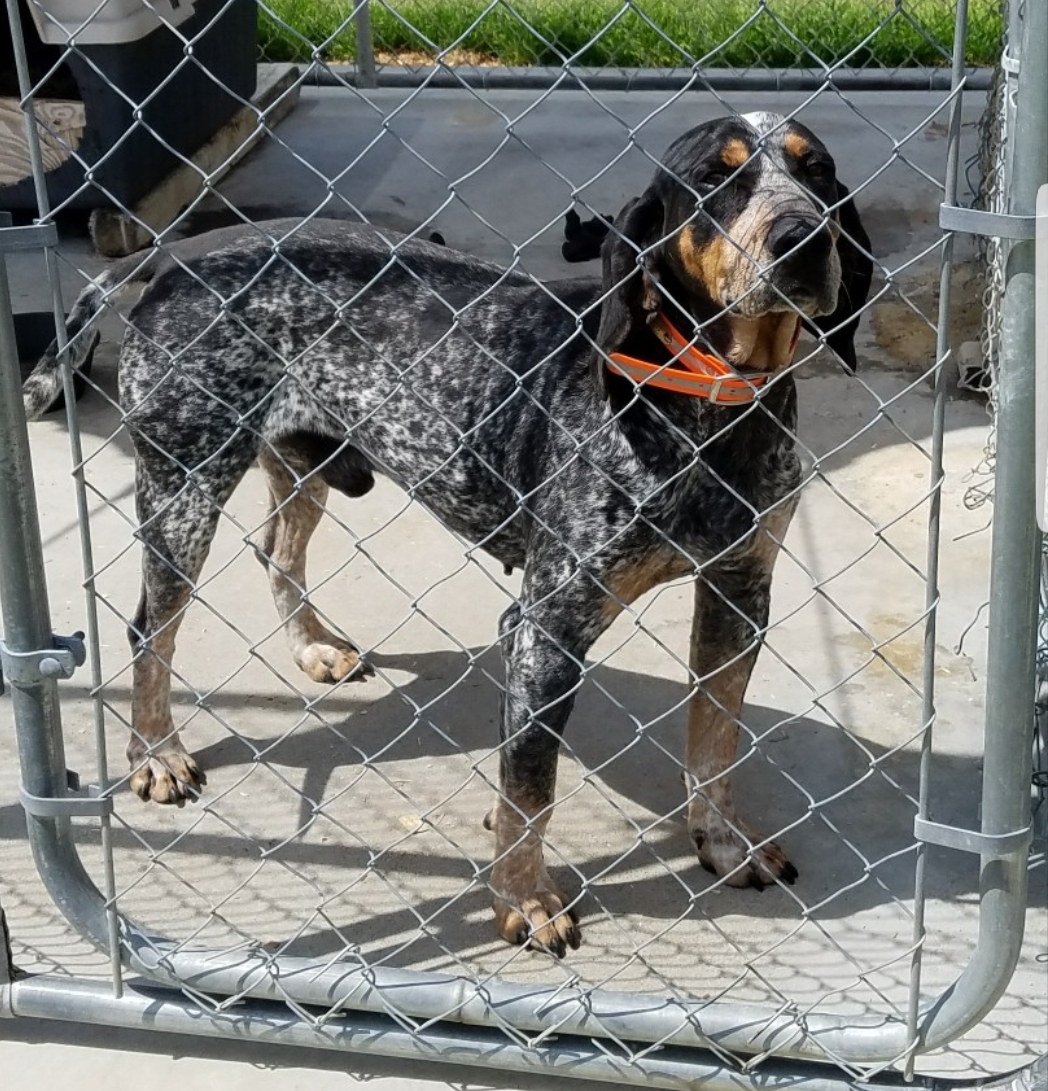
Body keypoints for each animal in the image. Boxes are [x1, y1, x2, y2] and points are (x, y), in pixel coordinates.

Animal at [23, 112, 872, 957]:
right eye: (713, 179)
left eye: (819, 171)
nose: (803, 237)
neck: (709, 404)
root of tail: (173, 258)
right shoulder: (545, 631)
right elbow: (531, 786)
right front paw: (525, 897)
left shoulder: (739, 597)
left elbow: (715, 737)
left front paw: (722, 837)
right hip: (185, 486)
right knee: (150, 628)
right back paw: (156, 753)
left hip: (300, 462)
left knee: (277, 549)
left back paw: (311, 645)